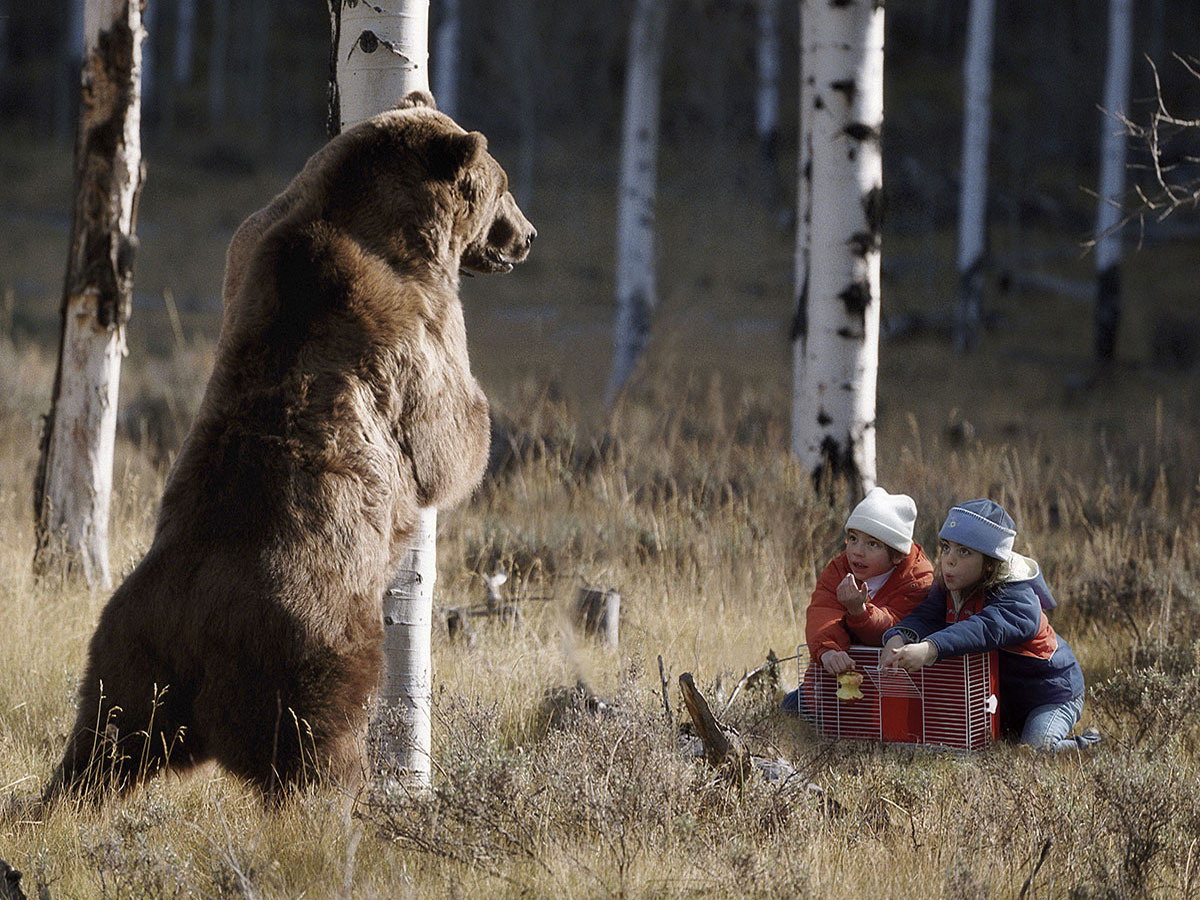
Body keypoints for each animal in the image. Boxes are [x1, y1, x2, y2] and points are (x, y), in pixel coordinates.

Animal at [46, 90, 535, 796]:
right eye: (504, 185)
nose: (526, 235)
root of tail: (197, 632)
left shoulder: (252, 244)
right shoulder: (411, 320)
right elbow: (445, 436)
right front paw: (475, 430)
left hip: (128, 658)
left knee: (100, 746)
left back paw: (57, 798)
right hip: (311, 652)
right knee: (317, 752)